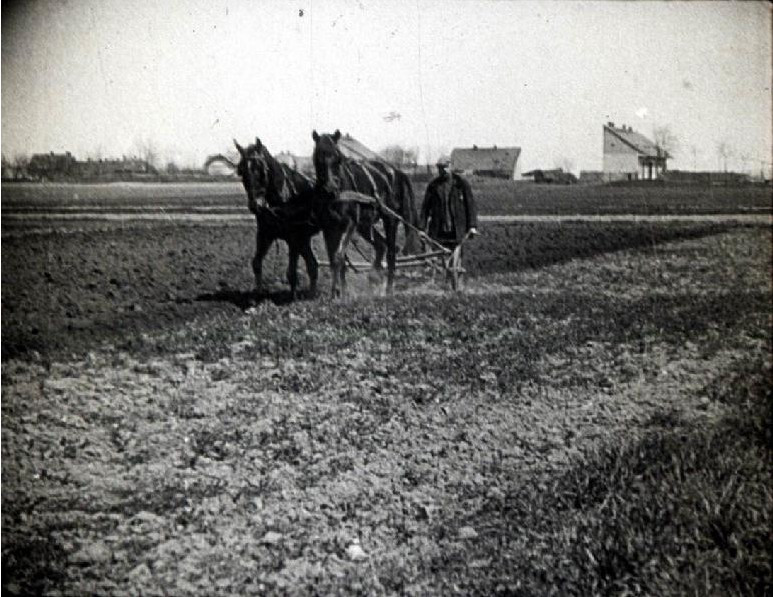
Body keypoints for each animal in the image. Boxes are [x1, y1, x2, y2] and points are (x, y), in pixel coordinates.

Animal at [234, 137, 322, 300]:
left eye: (262, 170)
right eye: (241, 171)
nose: (256, 205)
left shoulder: (294, 239)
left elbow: (291, 272)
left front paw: (293, 298)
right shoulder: (265, 235)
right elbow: (256, 263)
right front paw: (257, 294)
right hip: (304, 239)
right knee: (313, 264)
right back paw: (312, 292)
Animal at [310, 130, 420, 298]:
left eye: (338, 158)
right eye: (317, 158)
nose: (329, 189)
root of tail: (397, 171)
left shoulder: (349, 224)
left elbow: (338, 256)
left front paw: (338, 291)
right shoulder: (328, 227)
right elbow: (335, 258)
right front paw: (341, 291)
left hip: (390, 219)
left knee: (391, 252)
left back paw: (388, 289)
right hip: (365, 225)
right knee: (381, 245)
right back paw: (374, 278)